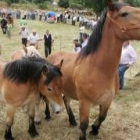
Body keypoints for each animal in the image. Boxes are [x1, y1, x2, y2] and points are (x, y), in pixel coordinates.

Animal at [47, 1, 140, 140]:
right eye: (124, 14)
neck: (98, 69)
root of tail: (50, 56)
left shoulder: (107, 100)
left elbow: (102, 117)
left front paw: (94, 130)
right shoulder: (85, 103)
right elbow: (84, 124)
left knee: (66, 100)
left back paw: (72, 120)